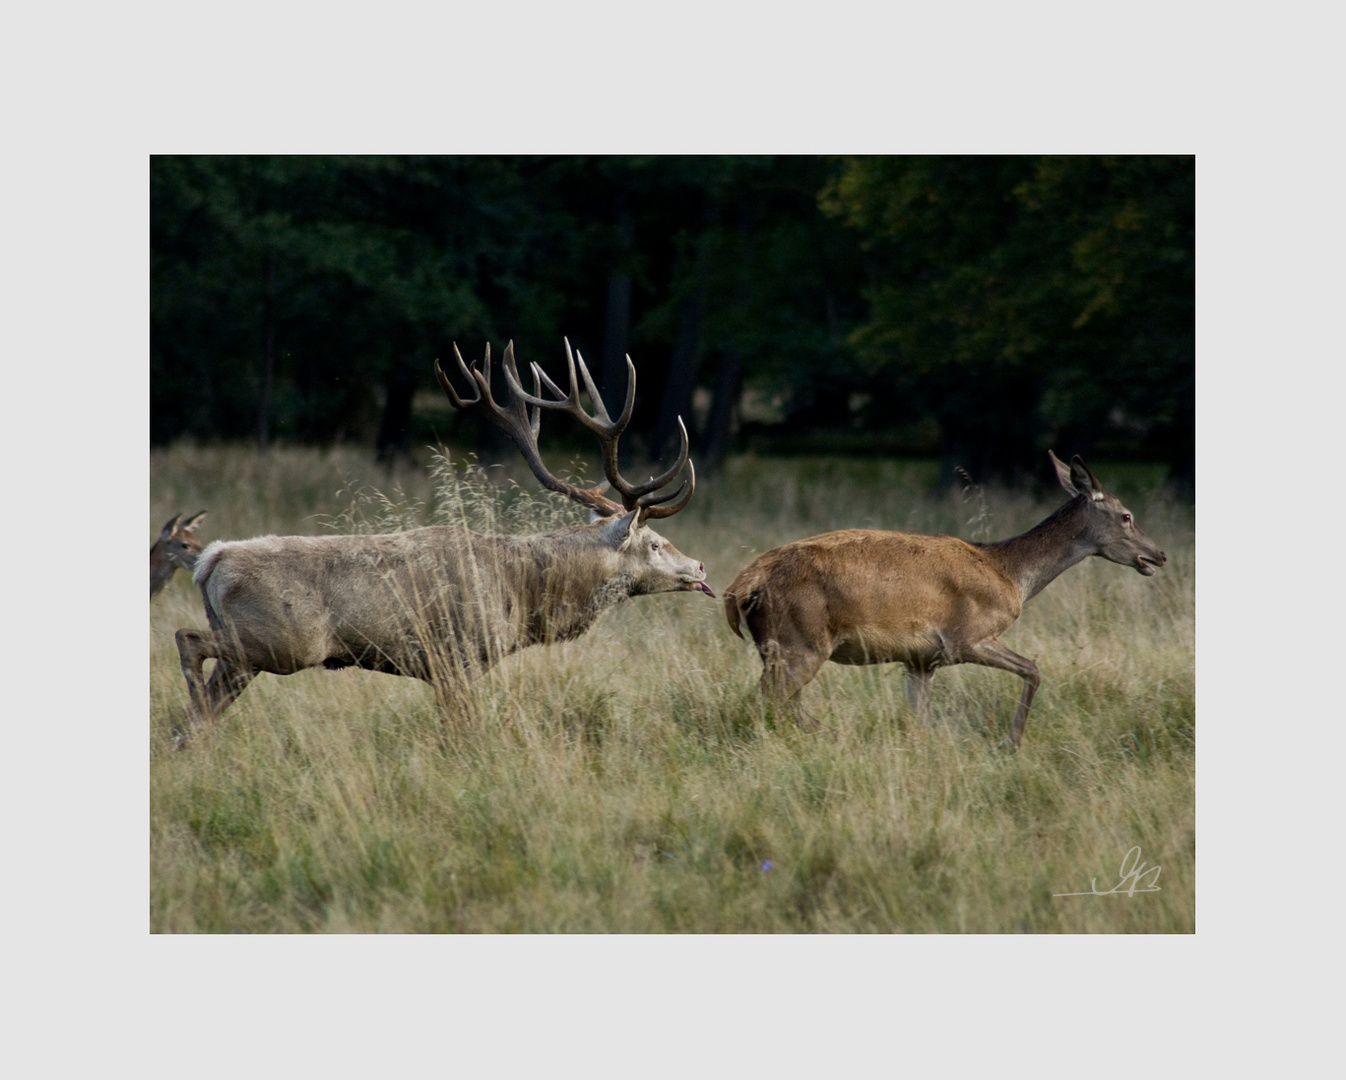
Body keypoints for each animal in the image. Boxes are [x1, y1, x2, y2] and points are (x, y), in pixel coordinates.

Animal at [179, 343, 716, 743]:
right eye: (655, 544)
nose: (701, 567)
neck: (521, 594)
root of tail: (211, 560)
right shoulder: (456, 656)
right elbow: (461, 732)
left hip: (250, 655)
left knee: (203, 708)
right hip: (280, 641)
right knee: (187, 642)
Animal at [726, 449, 1168, 743]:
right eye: (1126, 516)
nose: (1158, 554)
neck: (1012, 576)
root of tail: (742, 585)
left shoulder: (921, 660)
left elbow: (918, 720)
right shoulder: (966, 636)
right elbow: (1033, 668)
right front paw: (1012, 742)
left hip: (780, 646)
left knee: (781, 706)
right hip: (798, 642)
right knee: (760, 704)